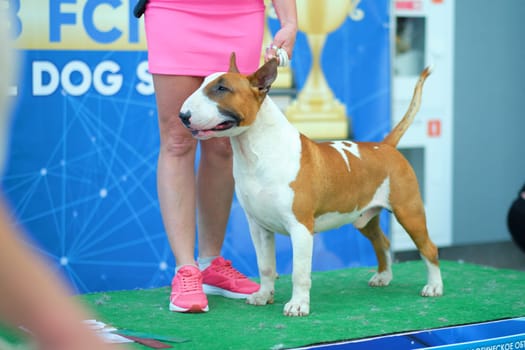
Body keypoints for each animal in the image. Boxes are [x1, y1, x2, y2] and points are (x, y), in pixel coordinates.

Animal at [180, 52, 442, 318]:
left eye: (222, 88)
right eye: (204, 83)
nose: (183, 116)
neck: (255, 151)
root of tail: (386, 146)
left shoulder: (300, 227)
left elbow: (299, 272)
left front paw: (298, 305)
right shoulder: (259, 227)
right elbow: (265, 266)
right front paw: (264, 296)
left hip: (409, 211)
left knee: (428, 248)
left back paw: (433, 286)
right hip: (364, 217)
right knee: (382, 241)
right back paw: (383, 276)